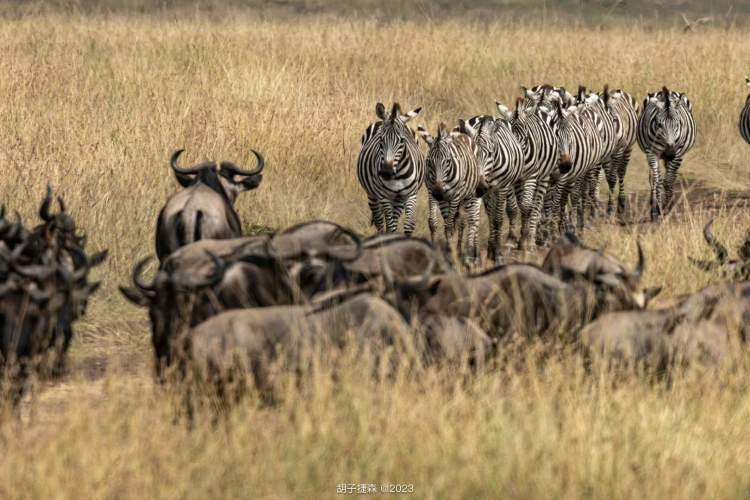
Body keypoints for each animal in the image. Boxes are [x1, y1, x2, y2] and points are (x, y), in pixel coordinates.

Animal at [356, 102, 426, 235]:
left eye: (402, 140)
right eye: (380, 139)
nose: (386, 172)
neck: (397, 174)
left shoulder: (411, 195)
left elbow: (407, 225)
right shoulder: (384, 197)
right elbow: (390, 226)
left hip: (398, 199)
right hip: (372, 195)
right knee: (380, 221)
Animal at [418, 122, 482, 262]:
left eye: (447, 161)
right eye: (428, 161)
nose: (438, 192)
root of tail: (465, 136)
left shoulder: (454, 197)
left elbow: (448, 226)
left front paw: (449, 253)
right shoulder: (431, 193)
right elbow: (433, 223)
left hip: (471, 196)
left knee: (473, 221)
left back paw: (472, 254)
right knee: (461, 222)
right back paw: (459, 250)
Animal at [462, 113, 524, 262]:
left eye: (490, 153)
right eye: (472, 153)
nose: (479, 188)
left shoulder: (502, 188)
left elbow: (498, 219)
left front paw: (498, 253)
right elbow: (480, 218)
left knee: (500, 213)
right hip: (488, 192)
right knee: (490, 213)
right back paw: (490, 248)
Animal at [640, 87, 700, 221]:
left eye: (677, 124)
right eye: (659, 124)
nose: (670, 151)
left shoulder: (678, 155)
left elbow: (668, 181)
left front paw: (667, 209)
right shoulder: (652, 153)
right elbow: (657, 182)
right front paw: (656, 211)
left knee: (670, 178)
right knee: (653, 178)